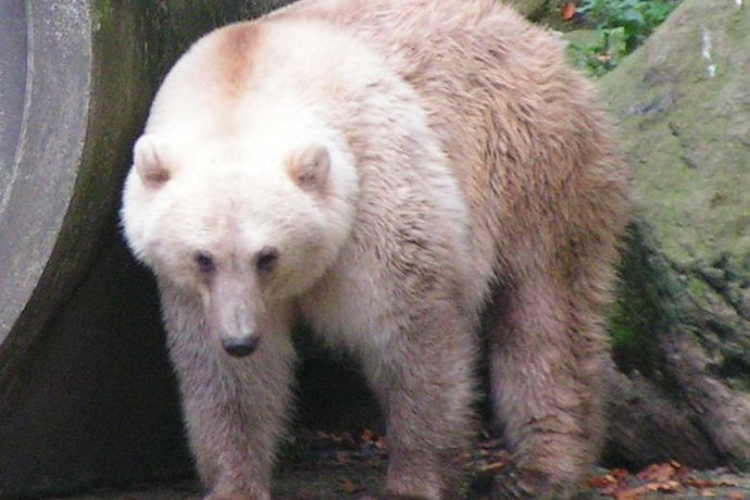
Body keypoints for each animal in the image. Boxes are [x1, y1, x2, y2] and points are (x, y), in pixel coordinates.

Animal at [120, 1, 630, 499]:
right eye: (202, 257)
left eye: (268, 256)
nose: (240, 339)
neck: (246, 78)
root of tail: (534, 36)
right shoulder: (191, 292)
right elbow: (226, 378)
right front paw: (235, 483)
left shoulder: (375, 191)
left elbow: (411, 336)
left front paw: (416, 480)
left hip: (532, 160)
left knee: (545, 311)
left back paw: (540, 471)